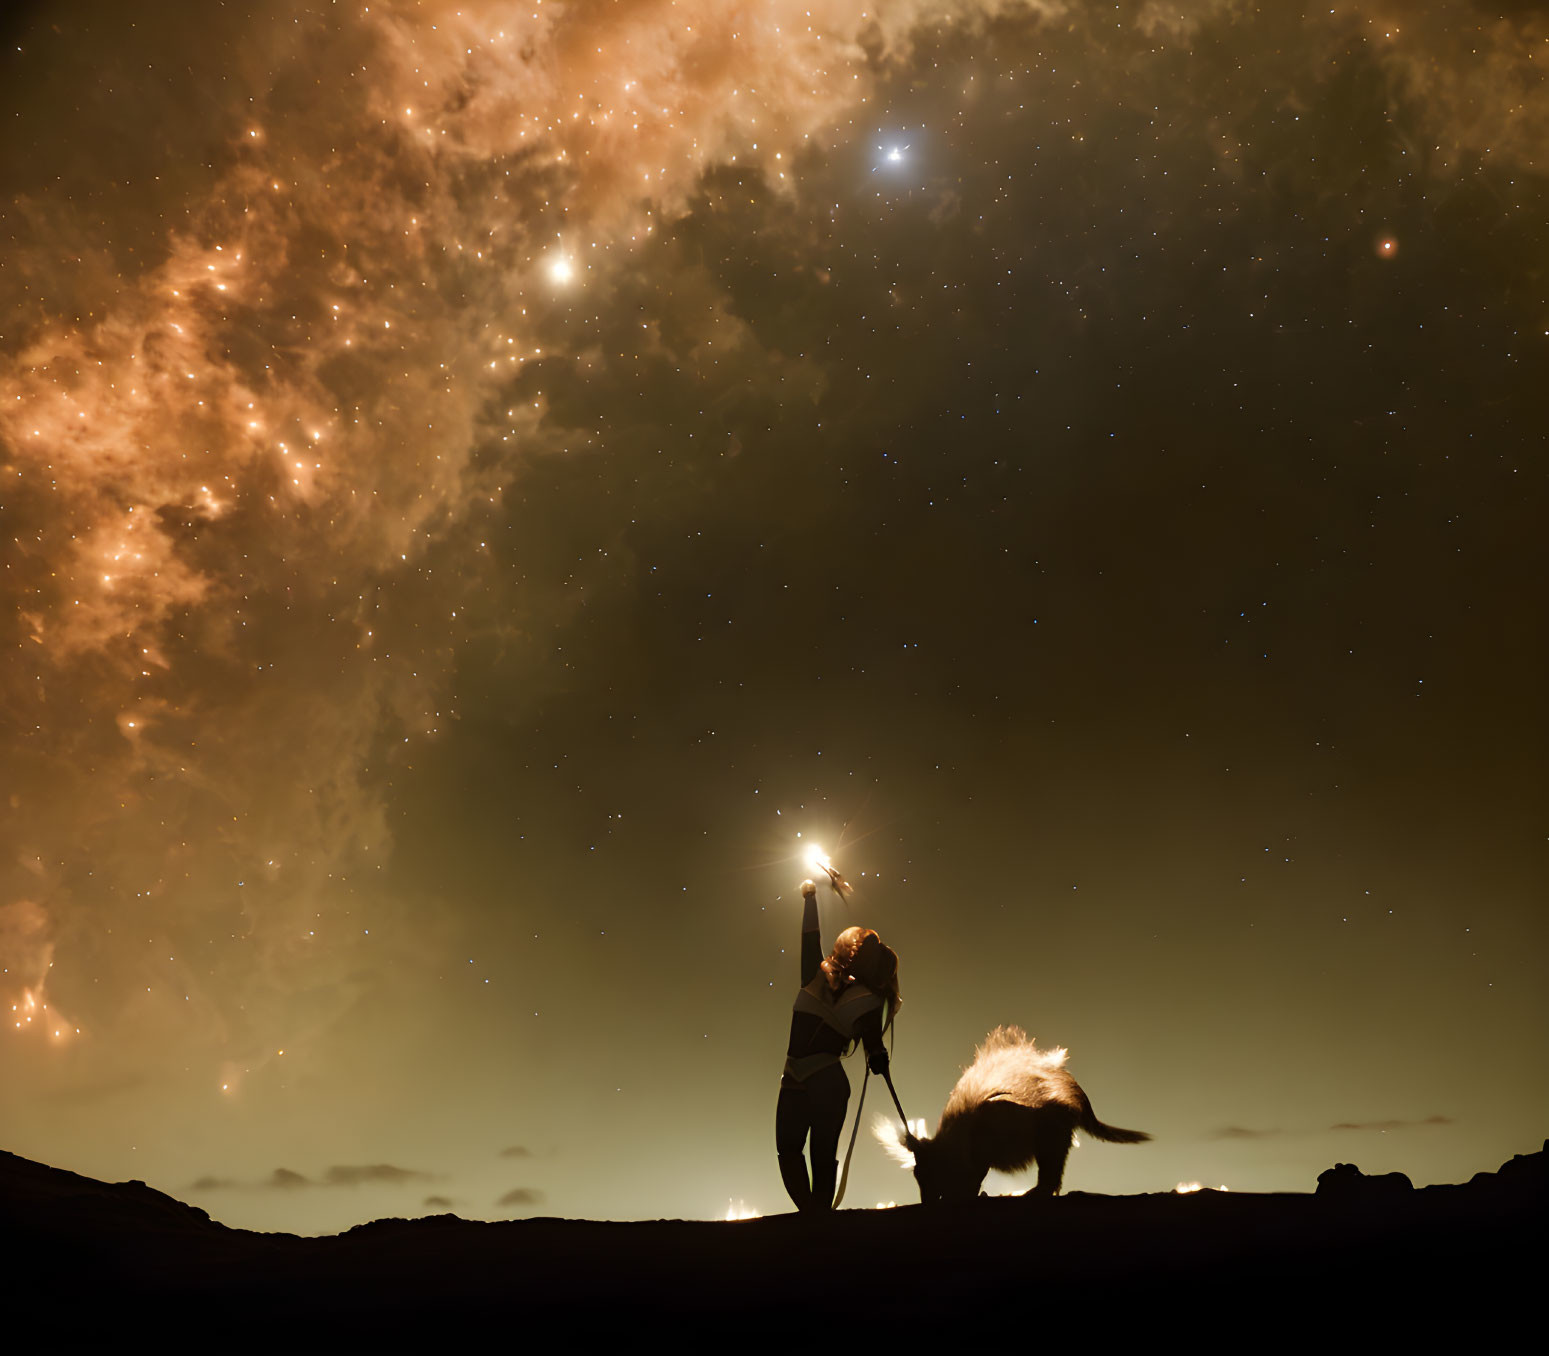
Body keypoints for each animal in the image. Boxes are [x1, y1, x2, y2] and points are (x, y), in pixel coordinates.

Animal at [879, 1022, 1146, 1202]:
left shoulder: (977, 1160)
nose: (926, 1201)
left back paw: (1034, 1192)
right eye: (917, 1175)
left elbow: (970, 1182)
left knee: (1050, 1176)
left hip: (1050, 1142)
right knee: (1052, 1176)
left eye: (926, 1174)